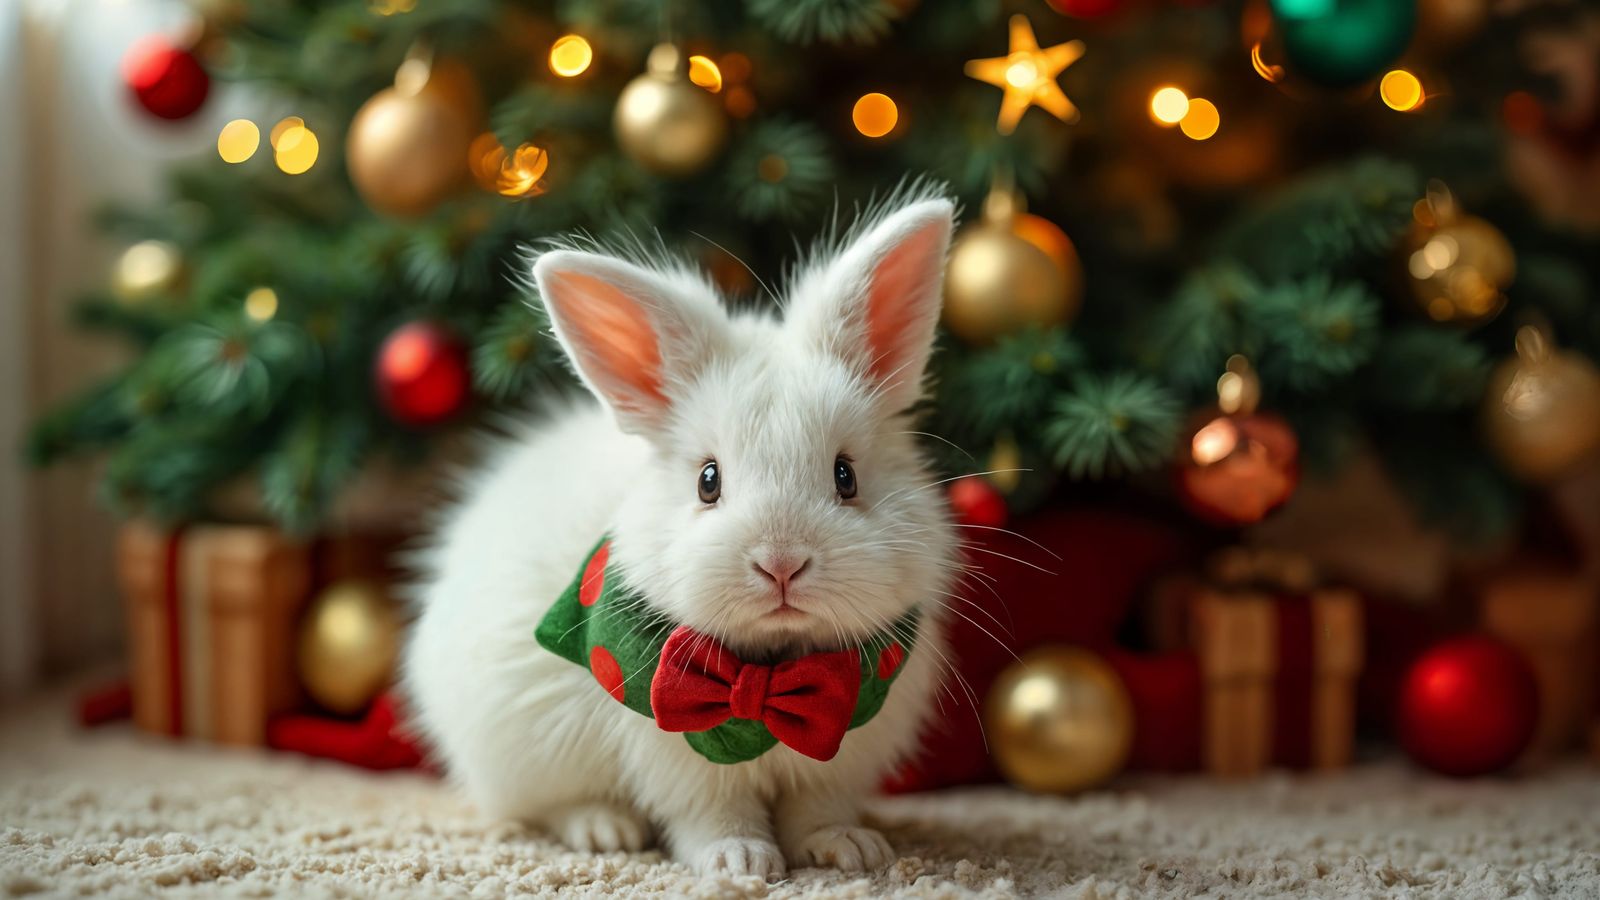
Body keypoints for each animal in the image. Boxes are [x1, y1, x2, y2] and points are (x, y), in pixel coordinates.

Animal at [403, 191, 961, 880]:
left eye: (846, 475)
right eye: (707, 480)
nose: (781, 563)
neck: (767, 677)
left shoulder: (838, 756)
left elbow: (818, 808)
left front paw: (851, 851)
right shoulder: (681, 763)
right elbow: (712, 814)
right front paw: (741, 863)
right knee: (549, 806)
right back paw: (605, 831)